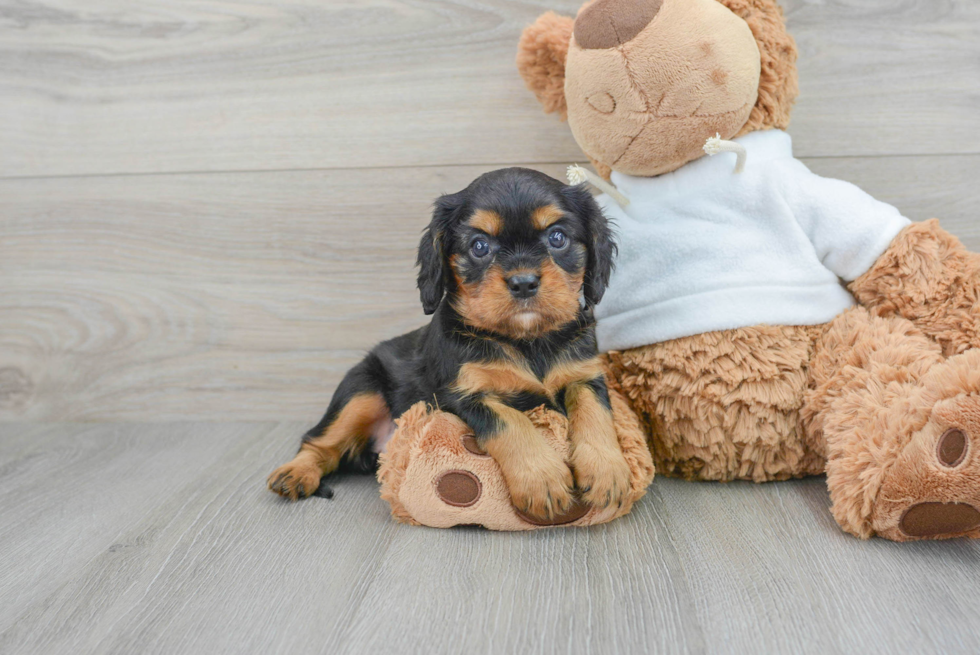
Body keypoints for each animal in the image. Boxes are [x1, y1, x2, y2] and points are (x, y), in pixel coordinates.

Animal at [268, 167, 628, 520]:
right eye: (479, 246)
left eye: (557, 237)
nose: (524, 282)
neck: (526, 341)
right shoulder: (463, 393)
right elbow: (510, 421)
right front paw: (541, 478)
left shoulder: (585, 376)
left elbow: (595, 413)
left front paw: (607, 470)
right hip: (360, 392)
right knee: (319, 443)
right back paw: (295, 474)